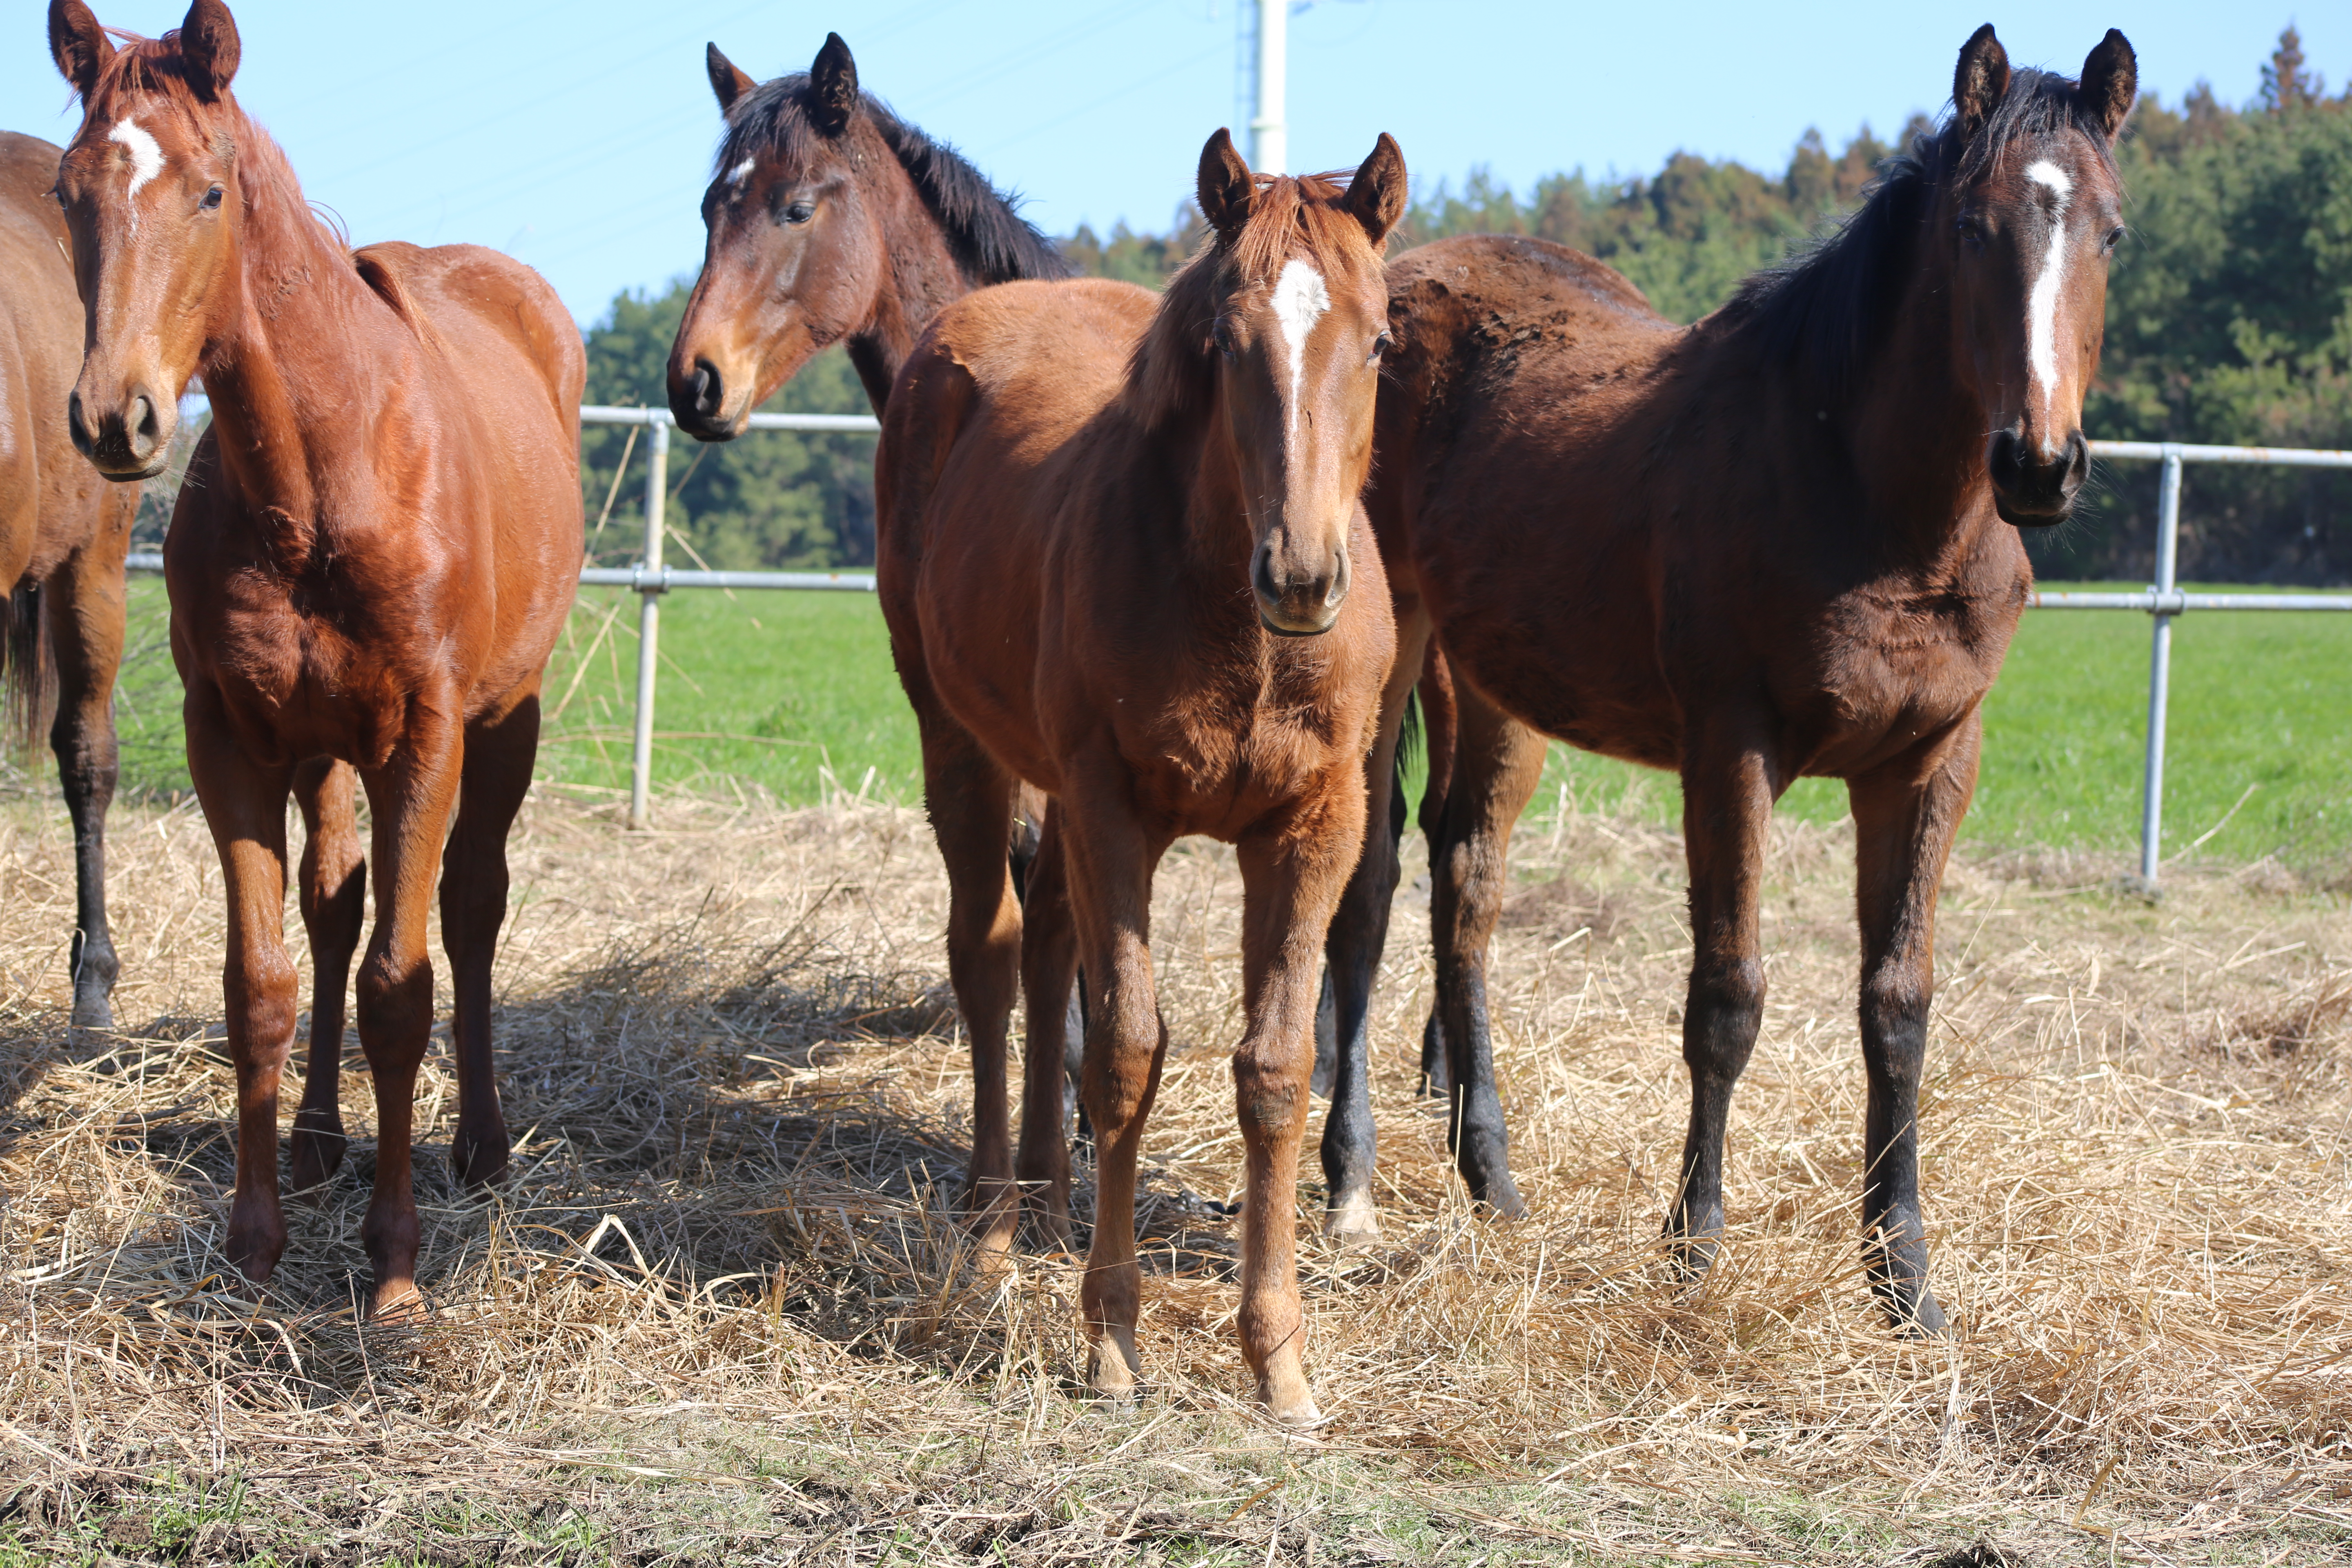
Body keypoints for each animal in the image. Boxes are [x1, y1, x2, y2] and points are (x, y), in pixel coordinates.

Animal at [48, 0, 586, 1316]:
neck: (324, 471)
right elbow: (264, 983)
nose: (116, 418)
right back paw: (318, 1138)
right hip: (326, 750)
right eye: (70, 192)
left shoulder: (425, 739)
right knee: (334, 906)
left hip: (503, 723)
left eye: (210, 191)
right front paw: (255, 1239)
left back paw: (480, 1145)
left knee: (471, 907)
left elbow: (403, 986)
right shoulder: (234, 741)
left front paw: (393, 1268)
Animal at [875, 135, 1401, 1420]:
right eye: (1224, 340)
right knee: (991, 955)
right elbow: (1124, 1050)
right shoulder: (1114, 811)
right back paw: (994, 1221)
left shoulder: (1314, 827)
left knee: (1045, 940)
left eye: (1379, 341)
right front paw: (1112, 1339)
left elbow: (1275, 1068)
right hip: (960, 742)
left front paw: (1278, 1358)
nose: (1302, 576)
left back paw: (1050, 1199)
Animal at [1317, 24, 2145, 1335]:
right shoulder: (1729, 748)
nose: (2039, 463)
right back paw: (1346, 1176)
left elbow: (1897, 1008)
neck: (1871, 496)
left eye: (2110, 234)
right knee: (1365, 890)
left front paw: (1904, 1276)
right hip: (1392, 656)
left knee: (1465, 888)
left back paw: (1490, 1176)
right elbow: (1727, 997)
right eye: (1972, 227)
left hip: (1493, 690)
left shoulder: (1930, 762)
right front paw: (1694, 1246)